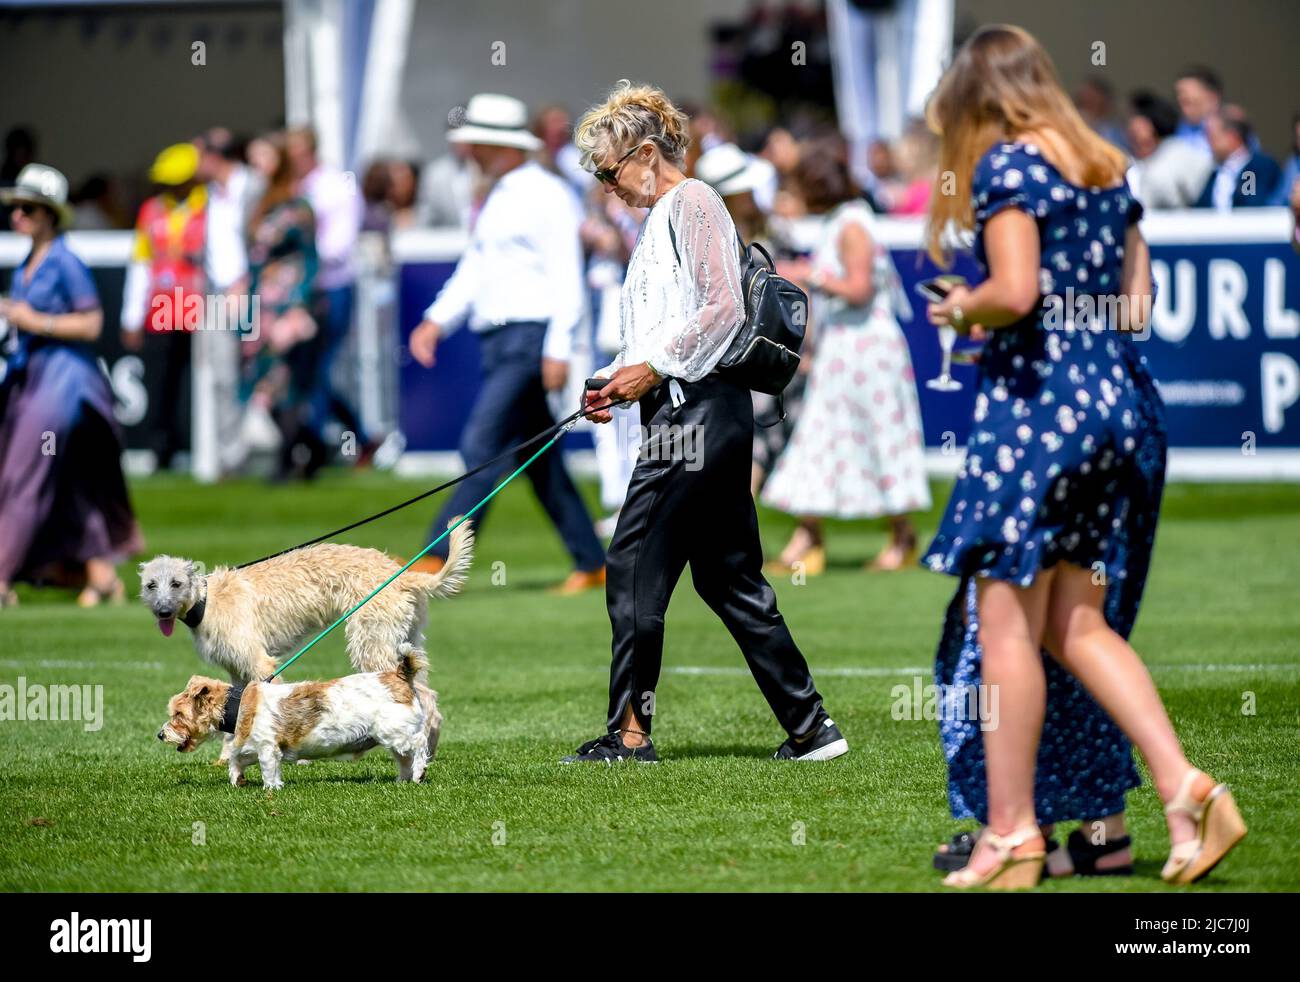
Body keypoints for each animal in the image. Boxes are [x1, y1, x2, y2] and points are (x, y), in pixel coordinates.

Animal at [139, 522, 475, 681]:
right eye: (150, 585)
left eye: (177, 583)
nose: (163, 611)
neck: (207, 600)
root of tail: (403, 575)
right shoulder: (236, 669)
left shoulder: (260, 664)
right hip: (407, 638)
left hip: (372, 643)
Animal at [156, 642, 441, 785]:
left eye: (178, 714)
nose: (160, 735)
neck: (240, 705)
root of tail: (399, 675)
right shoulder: (252, 746)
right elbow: (237, 760)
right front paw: (237, 780)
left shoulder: (268, 747)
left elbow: (268, 769)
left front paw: (271, 789)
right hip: (393, 738)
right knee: (404, 758)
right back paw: (404, 779)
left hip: (396, 732)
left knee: (419, 746)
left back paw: (419, 772)